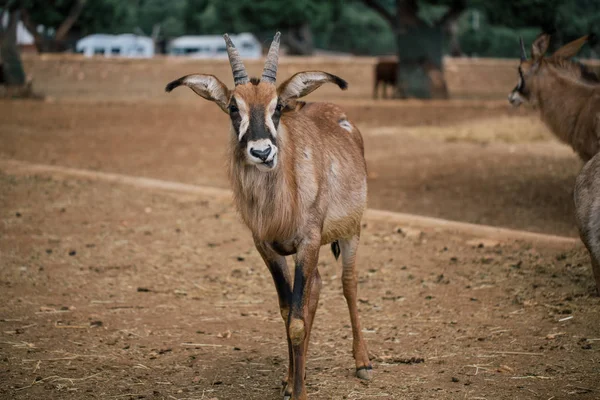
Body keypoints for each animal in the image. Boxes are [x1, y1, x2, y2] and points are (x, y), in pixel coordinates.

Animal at [164, 32, 370, 400]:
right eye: (234, 107)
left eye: (277, 107)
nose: (262, 152)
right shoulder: (269, 248)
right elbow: (289, 311)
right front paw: (290, 382)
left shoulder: (308, 242)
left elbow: (298, 321)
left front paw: (300, 392)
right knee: (315, 289)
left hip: (351, 232)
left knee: (349, 284)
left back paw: (363, 362)